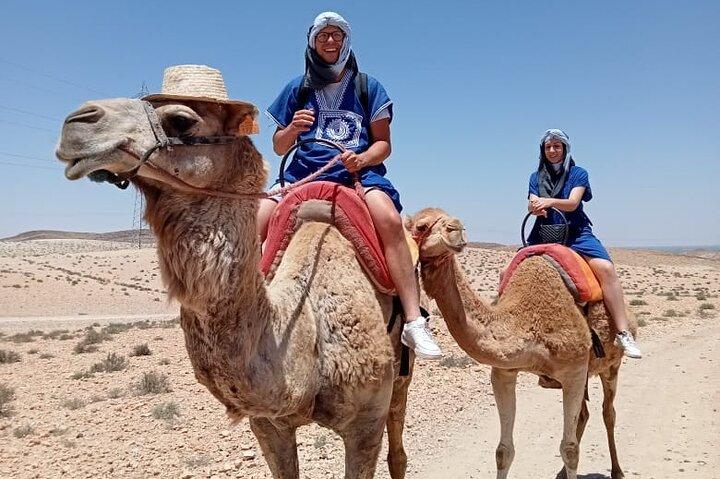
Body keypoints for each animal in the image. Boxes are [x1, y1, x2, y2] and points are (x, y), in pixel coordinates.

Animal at [55, 96, 417, 479]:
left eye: (180, 120)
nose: (78, 121)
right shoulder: (266, 423)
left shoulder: (366, 422)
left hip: (399, 371)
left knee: (398, 436)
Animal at [406, 208, 636, 479]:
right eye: (420, 226)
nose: (456, 228)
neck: (526, 318)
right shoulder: (504, 372)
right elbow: (503, 451)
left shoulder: (574, 371)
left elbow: (570, 449)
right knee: (585, 414)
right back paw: (561, 473)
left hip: (611, 365)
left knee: (608, 412)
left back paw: (617, 470)